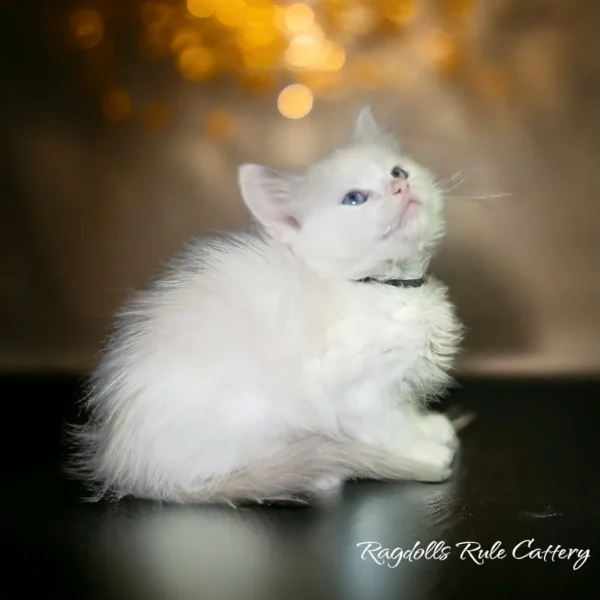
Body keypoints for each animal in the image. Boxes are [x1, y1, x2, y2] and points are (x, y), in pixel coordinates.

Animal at [69, 106, 464, 502]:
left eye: (398, 171)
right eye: (354, 199)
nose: (400, 186)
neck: (386, 287)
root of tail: (128, 468)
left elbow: (404, 410)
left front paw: (429, 428)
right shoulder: (360, 392)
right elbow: (388, 429)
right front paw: (423, 452)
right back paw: (316, 472)